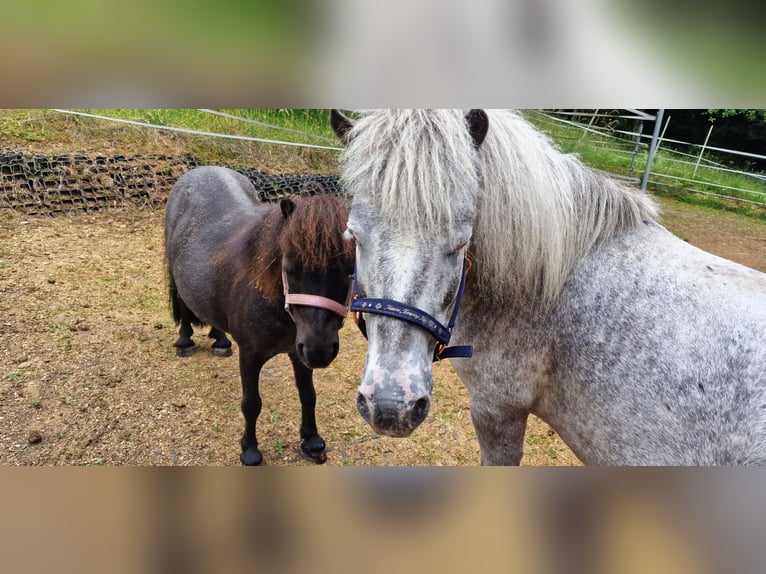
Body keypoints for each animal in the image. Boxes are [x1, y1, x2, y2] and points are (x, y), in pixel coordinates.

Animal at [165, 166, 354, 465]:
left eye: (349, 271)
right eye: (291, 268)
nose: (320, 351)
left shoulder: (298, 351)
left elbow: (308, 395)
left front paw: (312, 442)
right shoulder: (251, 355)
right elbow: (251, 403)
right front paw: (250, 451)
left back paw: (220, 340)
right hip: (177, 275)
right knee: (184, 306)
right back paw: (185, 342)